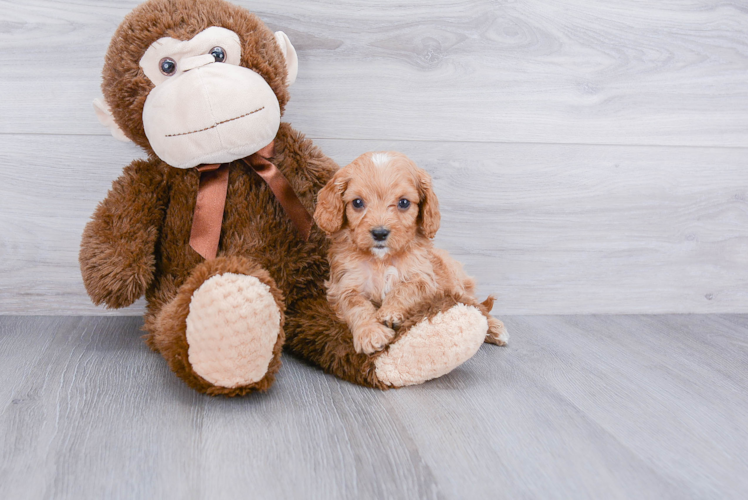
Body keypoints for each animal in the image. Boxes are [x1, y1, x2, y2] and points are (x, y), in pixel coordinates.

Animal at [310, 152, 508, 356]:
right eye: (357, 203)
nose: (379, 233)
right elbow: (357, 305)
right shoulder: (343, 285)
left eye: (403, 202)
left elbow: (404, 289)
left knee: (476, 305)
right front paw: (371, 332)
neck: (382, 260)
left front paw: (389, 312)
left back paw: (495, 329)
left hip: (455, 287)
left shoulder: (424, 279)